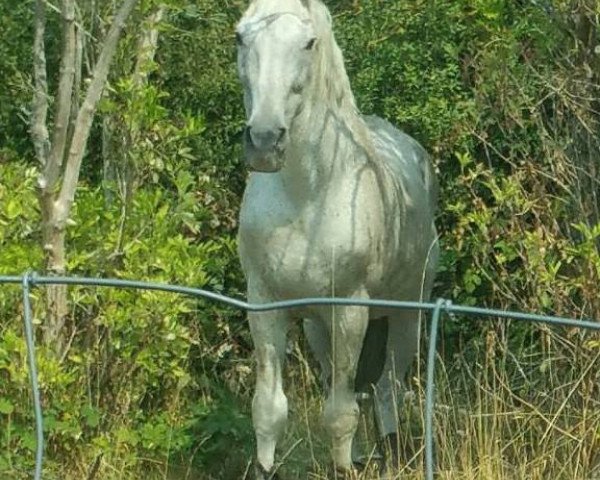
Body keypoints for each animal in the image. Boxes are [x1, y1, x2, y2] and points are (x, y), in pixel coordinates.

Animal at [237, 0, 438, 476]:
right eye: (239, 36)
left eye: (309, 42)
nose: (265, 141)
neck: (305, 194)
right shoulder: (265, 305)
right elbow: (269, 409)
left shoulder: (349, 310)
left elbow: (340, 414)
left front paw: (346, 467)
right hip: (317, 327)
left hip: (406, 315)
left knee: (387, 386)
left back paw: (389, 449)